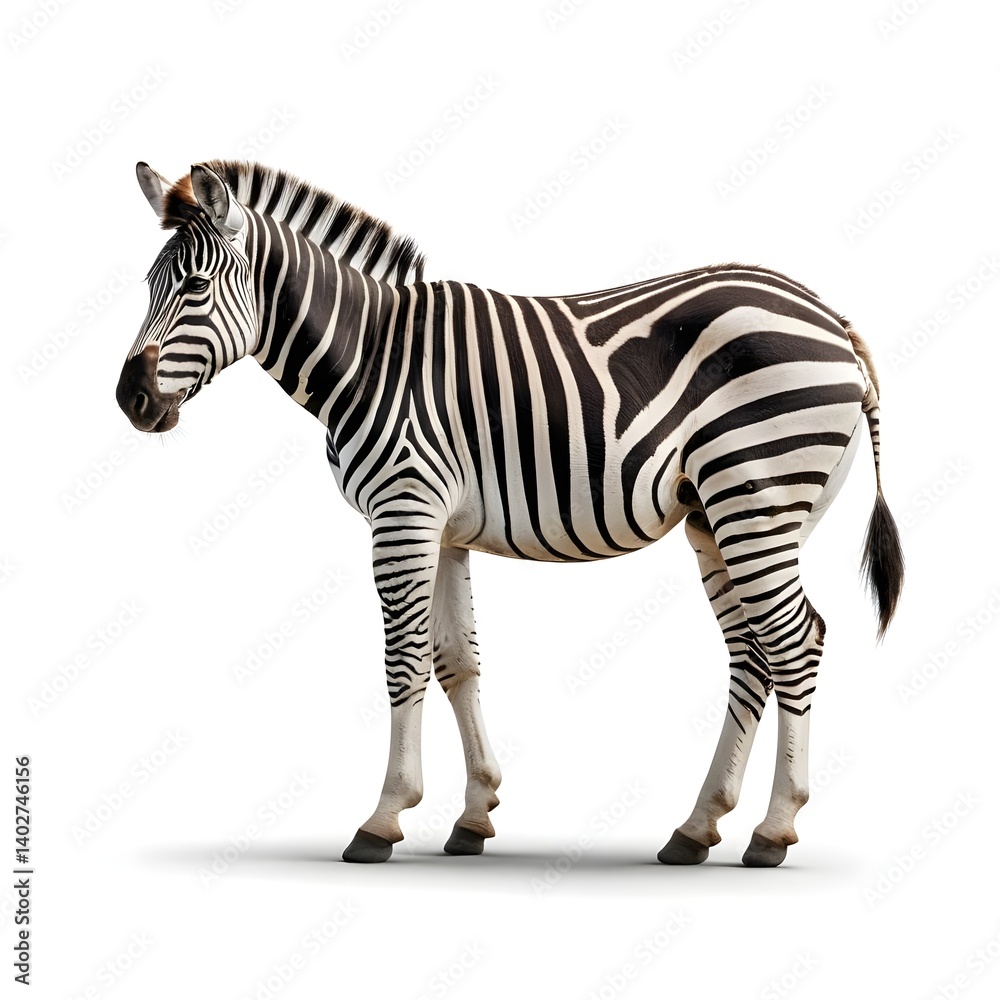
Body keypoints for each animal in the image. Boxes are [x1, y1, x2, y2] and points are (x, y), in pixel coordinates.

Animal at [116, 159, 903, 868]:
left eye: (195, 286)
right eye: (148, 287)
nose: (131, 400)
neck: (369, 357)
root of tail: (830, 316)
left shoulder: (402, 511)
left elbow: (403, 662)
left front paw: (383, 818)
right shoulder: (442, 528)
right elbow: (457, 661)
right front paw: (473, 814)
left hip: (757, 493)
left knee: (797, 641)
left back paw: (773, 830)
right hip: (721, 515)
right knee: (752, 651)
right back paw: (697, 828)